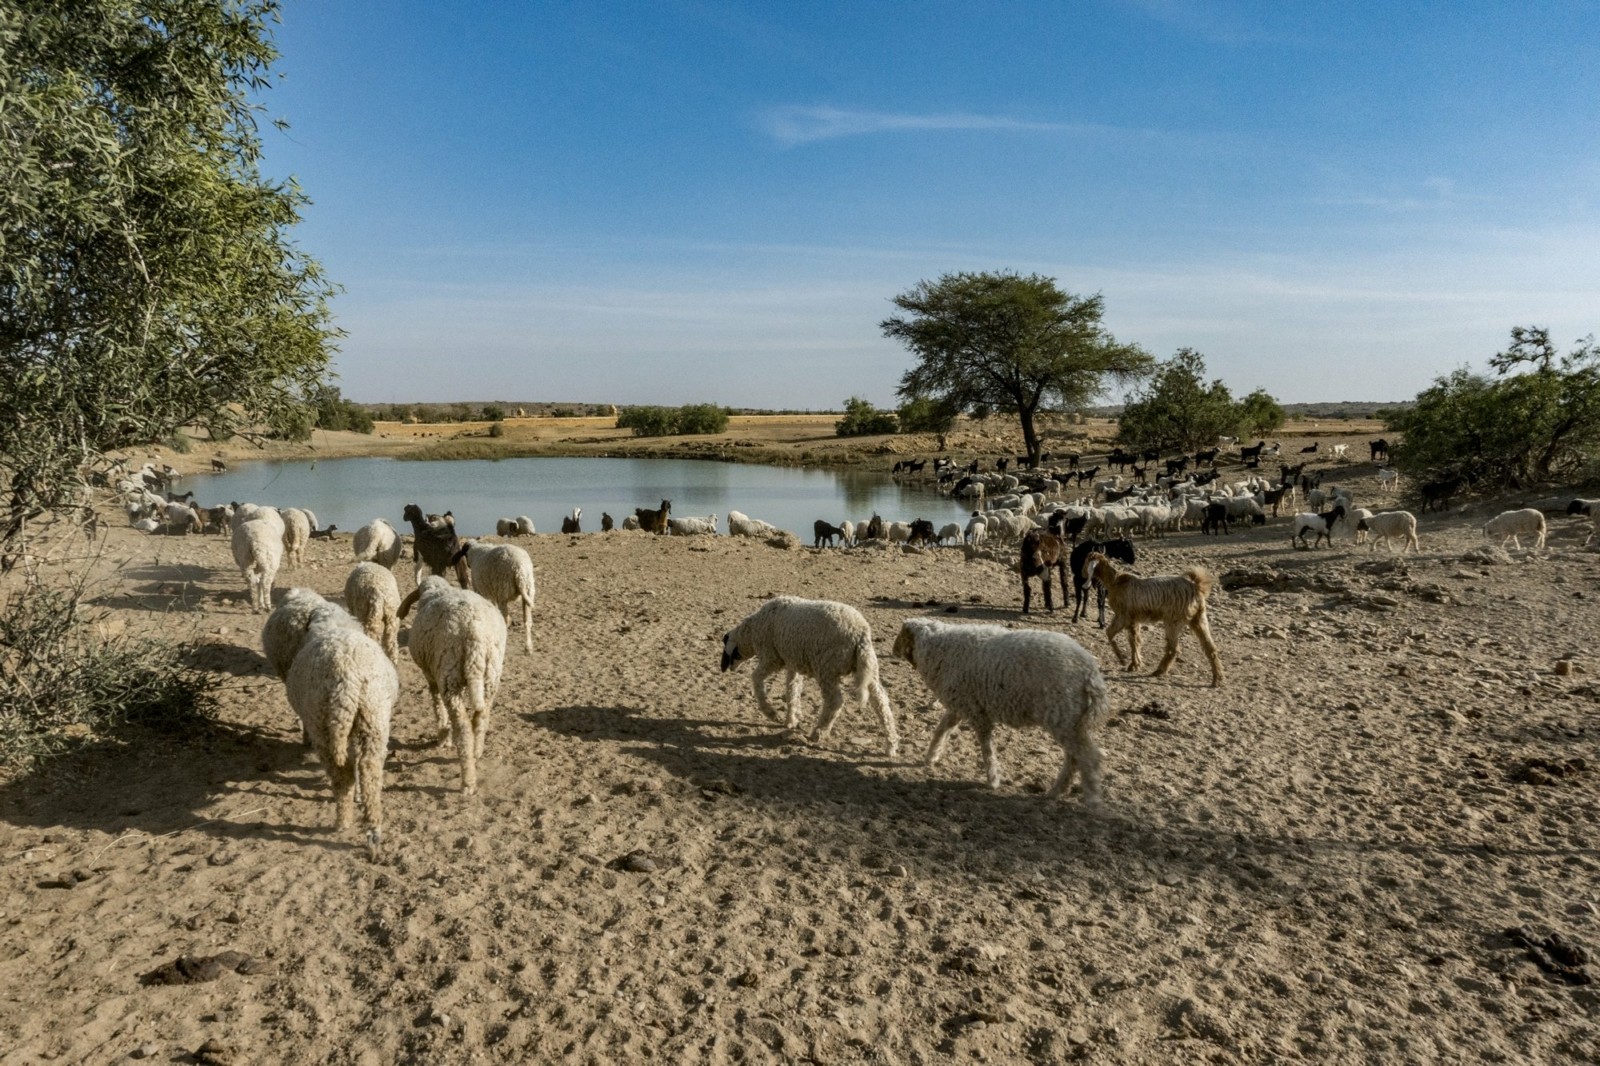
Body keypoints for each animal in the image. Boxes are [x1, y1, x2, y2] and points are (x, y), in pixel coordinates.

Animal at [281, 611, 396, 845]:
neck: (331, 625)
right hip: (373, 717)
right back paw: (372, 828)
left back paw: (343, 822)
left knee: (342, 776)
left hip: (323, 726)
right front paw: (358, 795)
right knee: (368, 771)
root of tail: (347, 680)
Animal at [398, 573, 505, 787]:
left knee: (463, 726)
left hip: (449, 675)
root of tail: (475, 634)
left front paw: (443, 736)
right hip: (489, 676)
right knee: (480, 717)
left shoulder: (431, 674)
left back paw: (468, 781)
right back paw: (477, 752)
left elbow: (437, 704)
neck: (437, 590)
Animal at [723, 589, 902, 755]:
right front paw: (791, 719)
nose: (727, 668)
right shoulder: (792, 662)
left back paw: (818, 733)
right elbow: (792, 690)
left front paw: (771, 712)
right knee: (881, 701)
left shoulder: (772, 657)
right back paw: (891, 745)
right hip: (868, 668)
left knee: (835, 701)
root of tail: (860, 633)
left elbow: (756, 678)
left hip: (827, 668)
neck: (752, 632)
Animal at [889, 614, 1113, 797]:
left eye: (901, 636)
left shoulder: (977, 713)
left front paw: (992, 780)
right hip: (1071, 719)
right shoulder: (961, 705)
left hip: (1063, 717)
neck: (939, 650)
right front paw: (930, 756)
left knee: (1087, 756)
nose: (892, 650)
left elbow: (986, 748)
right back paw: (1056, 791)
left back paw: (1088, 797)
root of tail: (1090, 671)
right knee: (1075, 757)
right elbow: (941, 729)